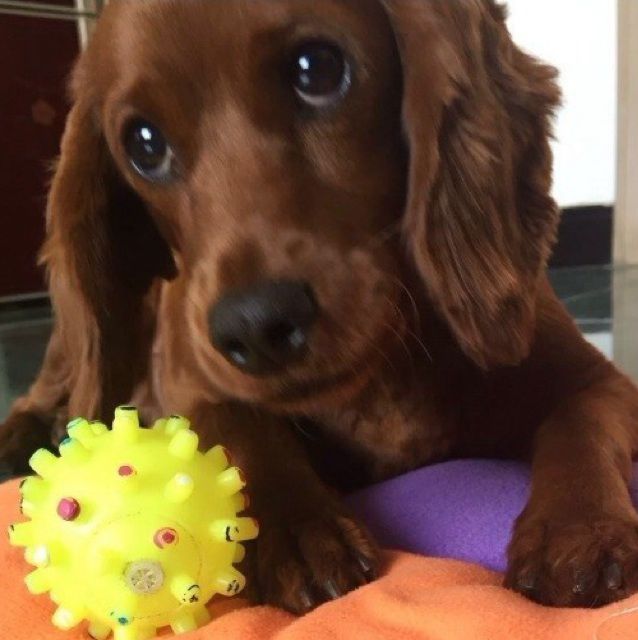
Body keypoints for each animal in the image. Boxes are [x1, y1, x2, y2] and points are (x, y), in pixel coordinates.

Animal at [2, 0, 638, 613]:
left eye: (318, 69)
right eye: (143, 144)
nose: (255, 327)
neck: (385, 369)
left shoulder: (598, 379)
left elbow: (579, 422)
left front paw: (579, 528)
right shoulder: (186, 386)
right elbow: (236, 428)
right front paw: (299, 530)